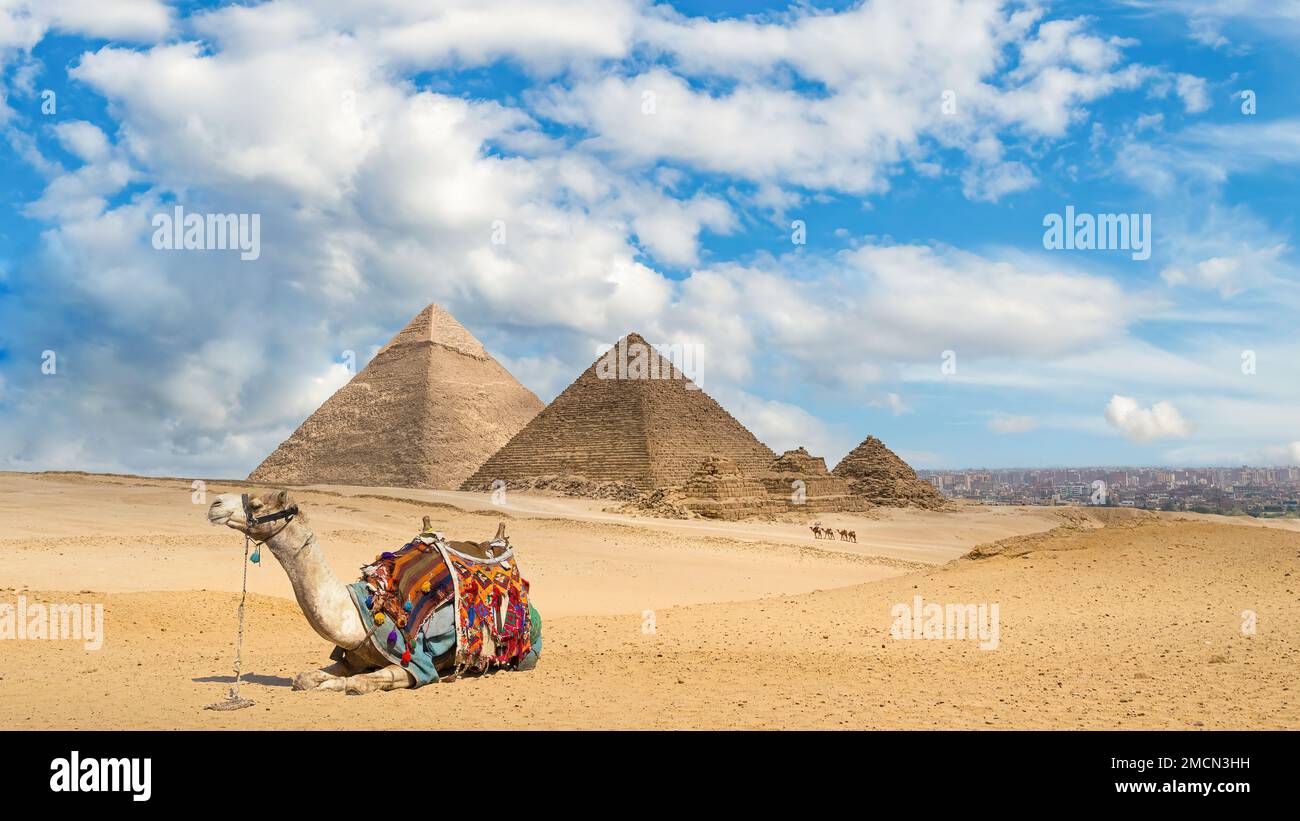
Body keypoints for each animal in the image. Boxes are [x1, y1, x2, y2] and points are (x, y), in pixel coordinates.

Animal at [210, 491, 535, 696]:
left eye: (255, 504)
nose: (214, 503)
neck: (357, 615)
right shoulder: (351, 658)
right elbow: (305, 678)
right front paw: (319, 680)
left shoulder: (417, 666)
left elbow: (359, 683)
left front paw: (336, 686)